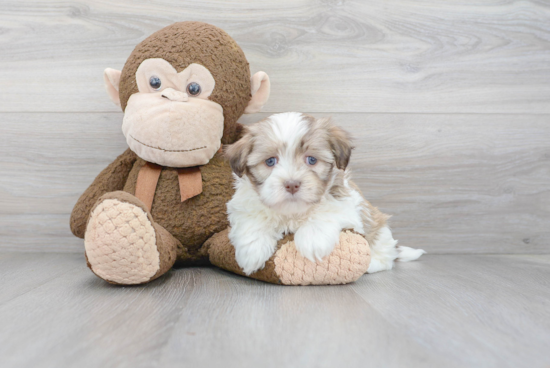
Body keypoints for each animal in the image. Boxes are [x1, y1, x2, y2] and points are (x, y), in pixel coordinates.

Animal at [225, 112, 426, 276]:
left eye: (311, 160)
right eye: (270, 161)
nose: (292, 184)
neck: (292, 212)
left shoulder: (347, 203)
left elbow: (325, 211)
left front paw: (312, 239)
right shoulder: (244, 204)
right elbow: (252, 219)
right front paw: (252, 250)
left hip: (379, 228)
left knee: (386, 257)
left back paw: (373, 264)